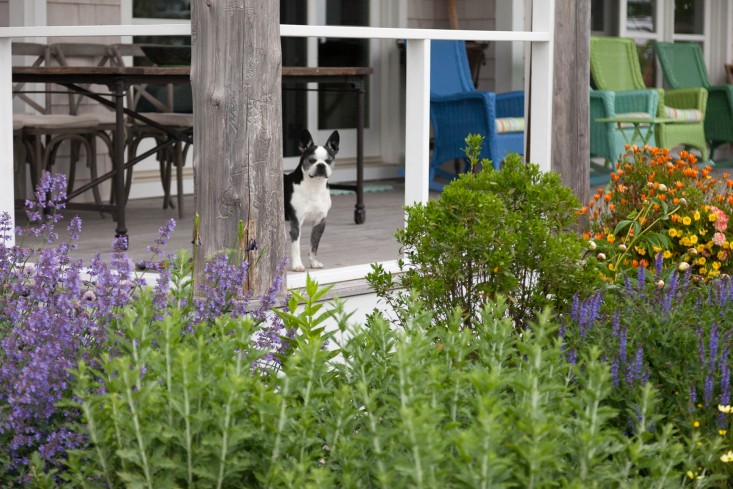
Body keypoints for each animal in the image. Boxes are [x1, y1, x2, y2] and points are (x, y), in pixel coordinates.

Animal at [284, 127, 338, 272]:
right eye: (312, 160)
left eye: (328, 161)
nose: (321, 165)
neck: (314, 187)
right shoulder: (296, 222)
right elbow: (296, 246)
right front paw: (297, 265)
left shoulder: (320, 222)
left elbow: (314, 245)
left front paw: (314, 263)